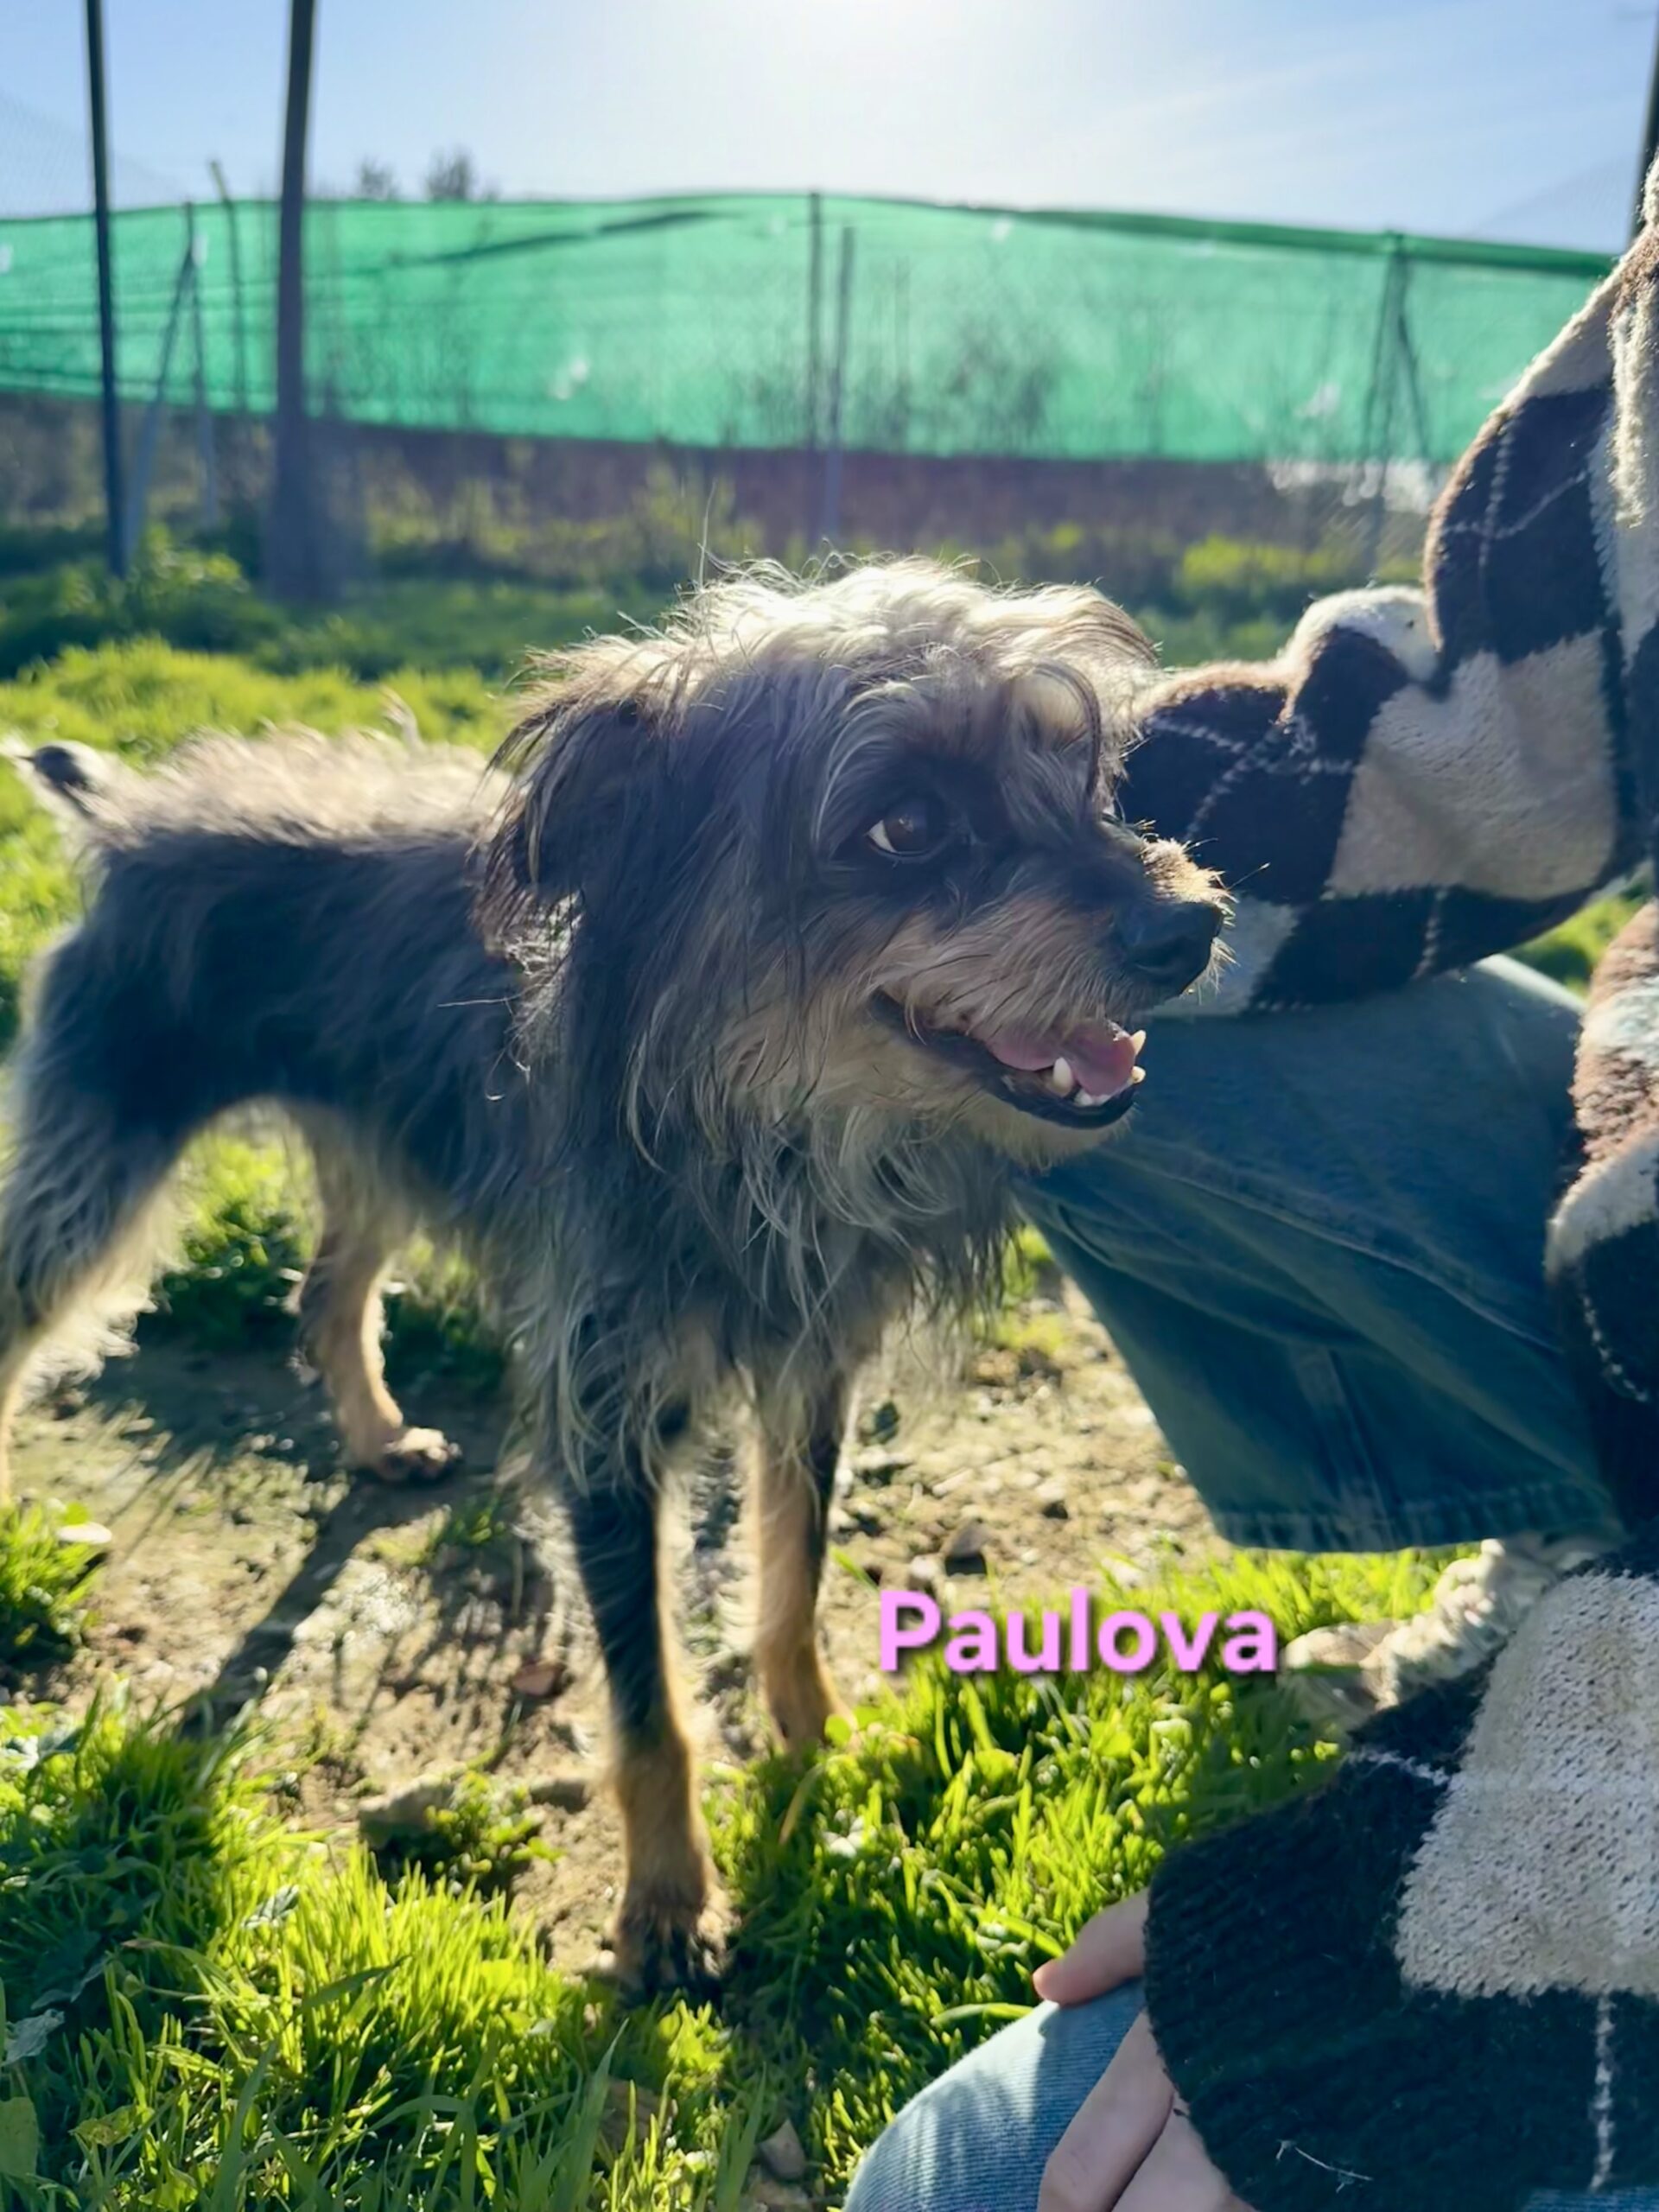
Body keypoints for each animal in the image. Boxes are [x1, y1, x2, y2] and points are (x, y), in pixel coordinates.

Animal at [0, 562, 1223, 1989]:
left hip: (382, 1145)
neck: (756, 1125)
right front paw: (668, 1903)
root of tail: (133, 817)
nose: (1190, 925)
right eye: (906, 824)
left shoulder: (813, 1369)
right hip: (98, 1166)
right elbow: (649, 1702)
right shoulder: (605, 1418)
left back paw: (378, 1440)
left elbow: (795, 1573)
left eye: (1075, 769)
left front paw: (813, 1735)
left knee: (329, 1293)